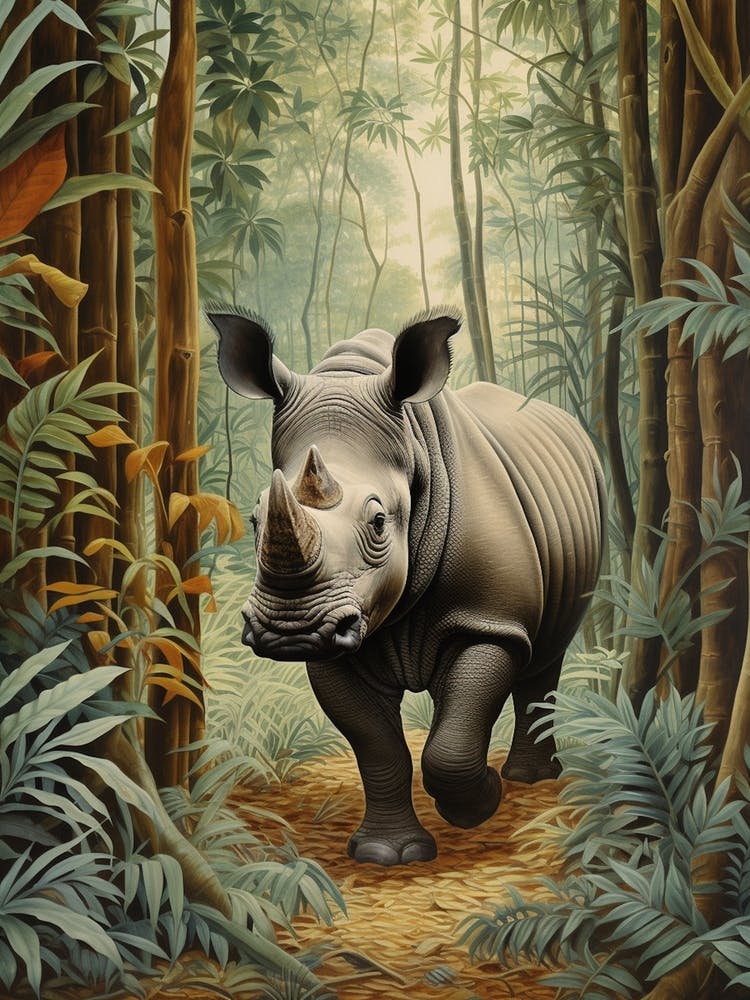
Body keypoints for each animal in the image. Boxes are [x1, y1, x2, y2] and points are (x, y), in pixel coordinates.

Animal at [208, 308, 606, 866]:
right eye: (254, 518)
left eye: (379, 522)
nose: (291, 630)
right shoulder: (335, 643)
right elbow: (378, 747)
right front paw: (386, 854)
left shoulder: (491, 622)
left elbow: (452, 744)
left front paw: (480, 802)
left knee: (547, 650)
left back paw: (529, 780)